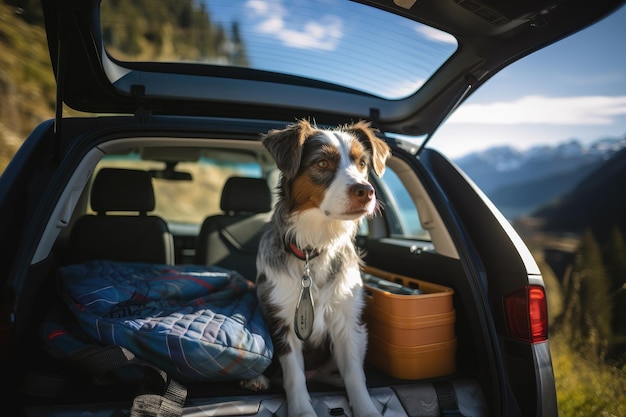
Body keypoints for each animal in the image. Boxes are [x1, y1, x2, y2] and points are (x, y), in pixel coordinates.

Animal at [241, 119, 388, 416]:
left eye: (362, 163)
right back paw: (256, 378)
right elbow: (293, 375)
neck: (313, 248)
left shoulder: (347, 321)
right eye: (322, 163)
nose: (367, 191)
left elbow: (355, 374)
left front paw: (366, 408)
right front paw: (302, 410)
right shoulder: (284, 322)